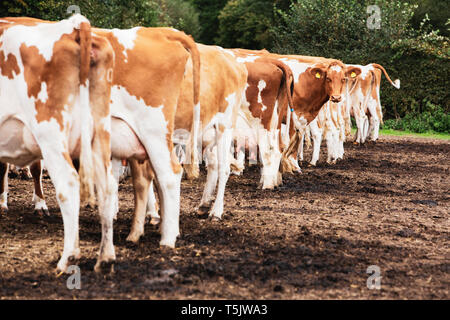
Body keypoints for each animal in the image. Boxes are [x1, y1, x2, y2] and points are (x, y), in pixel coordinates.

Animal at [0, 15, 116, 272]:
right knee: (107, 187)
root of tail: (73, 28)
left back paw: (68, 258)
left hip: (50, 134)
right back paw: (105, 258)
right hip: (99, 134)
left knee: (68, 184)